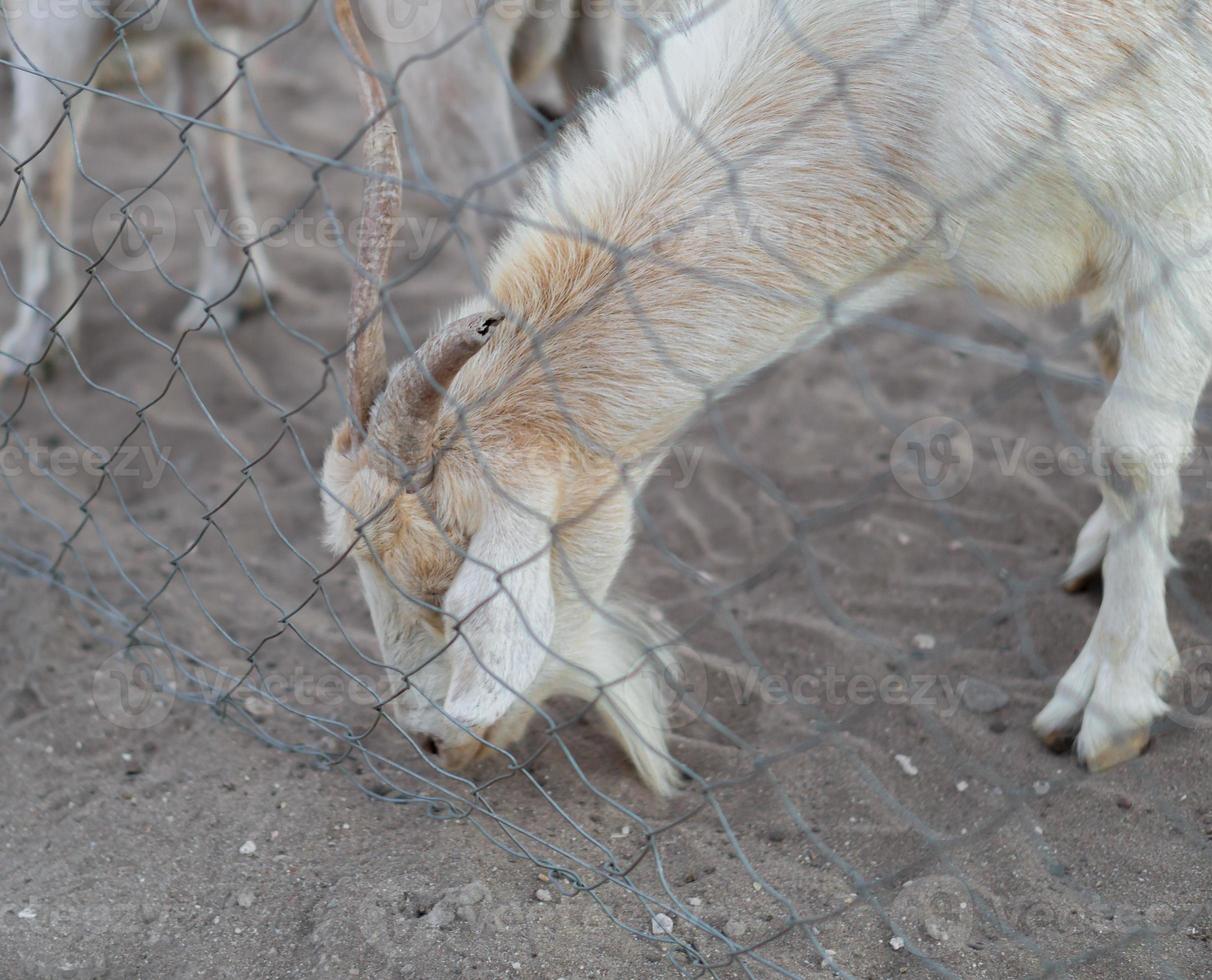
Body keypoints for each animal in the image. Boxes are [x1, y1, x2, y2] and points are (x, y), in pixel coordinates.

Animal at [327, 0, 1212, 794]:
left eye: (451, 597)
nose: (431, 741)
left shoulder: (1176, 220)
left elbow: (1129, 449)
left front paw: (1113, 699)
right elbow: (1113, 373)